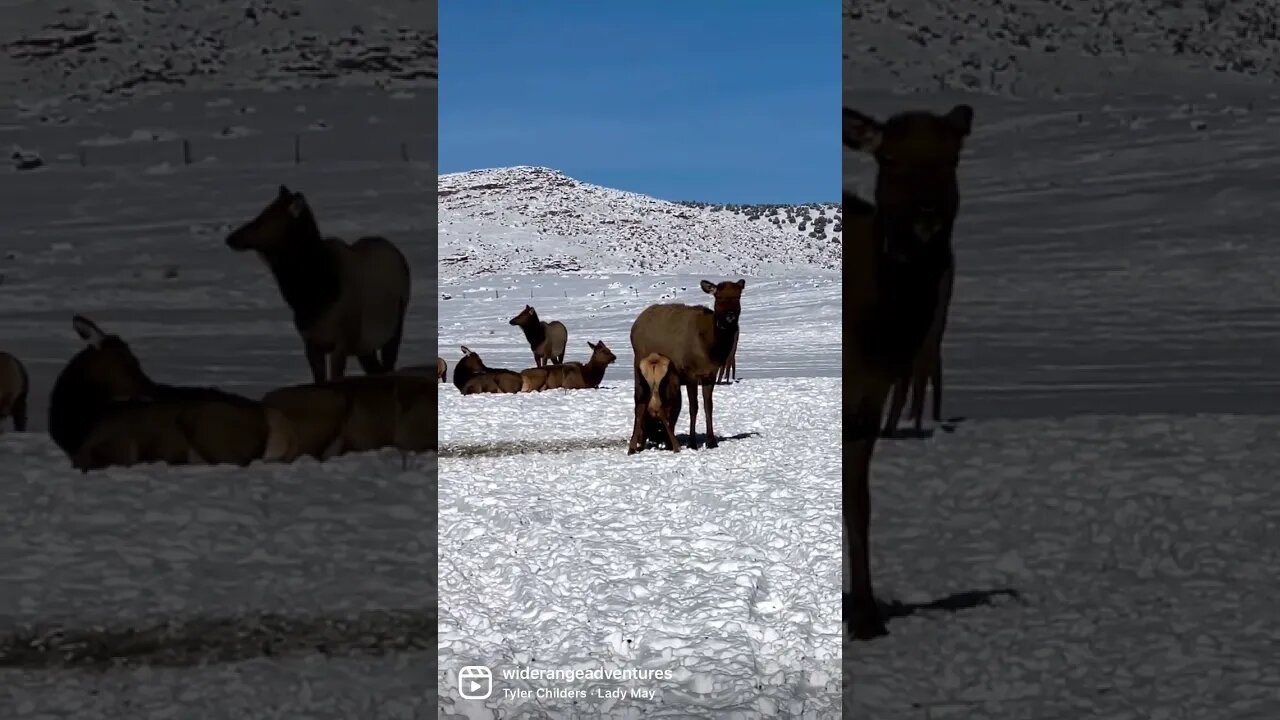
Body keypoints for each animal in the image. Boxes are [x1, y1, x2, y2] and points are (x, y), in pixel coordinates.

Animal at [225, 188, 412, 384]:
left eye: (263, 217)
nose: (230, 238)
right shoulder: (311, 342)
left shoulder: (342, 342)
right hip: (366, 346)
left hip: (394, 326)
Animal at [627, 279, 742, 448]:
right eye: (719, 297)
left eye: (738, 296)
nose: (730, 316)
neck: (711, 348)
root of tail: (635, 324)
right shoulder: (690, 372)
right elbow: (693, 407)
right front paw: (692, 442)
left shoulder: (710, 374)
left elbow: (709, 406)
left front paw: (711, 441)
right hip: (638, 364)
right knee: (638, 399)